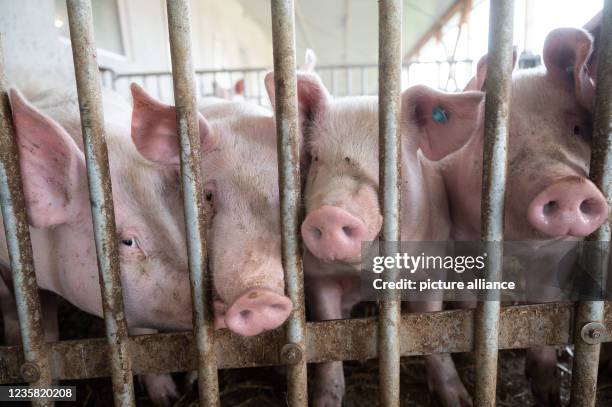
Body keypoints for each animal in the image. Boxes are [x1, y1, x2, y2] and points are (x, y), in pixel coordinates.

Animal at [440, 26, 608, 407]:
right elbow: (470, 298)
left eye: (578, 129)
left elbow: (543, 309)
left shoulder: (558, 256)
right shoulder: (459, 239)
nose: (568, 184)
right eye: (499, 136)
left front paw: (548, 394)